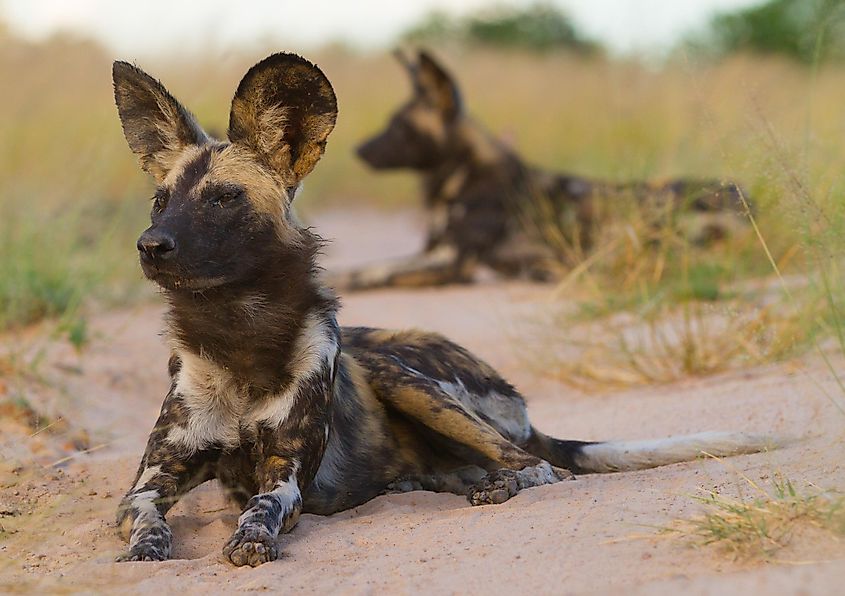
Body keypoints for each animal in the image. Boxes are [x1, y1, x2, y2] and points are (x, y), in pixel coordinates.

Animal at [332, 50, 748, 292]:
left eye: (399, 126)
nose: (357, 150)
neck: (460, 177)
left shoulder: (451, 262)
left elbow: (371, 273)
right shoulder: (433, 253)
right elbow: (358, 270)